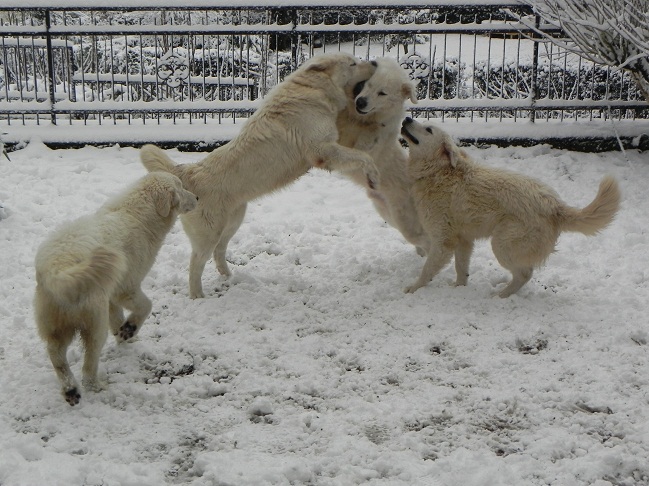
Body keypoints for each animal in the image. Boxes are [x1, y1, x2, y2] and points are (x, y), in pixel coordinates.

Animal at [34, 172, 198, 405]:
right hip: (94, 321)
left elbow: (117, 317)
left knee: (56, 354)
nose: (198, 197)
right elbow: (146, 305)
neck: (137, 214)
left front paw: (124, 335)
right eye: (181, 187)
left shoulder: (110, 296)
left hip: (56, 322)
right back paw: (96, 386)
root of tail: (58, 269)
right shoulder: (127, 287)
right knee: (89, 361)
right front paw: (130, 329)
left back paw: (70, 390)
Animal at [140, 52, 379, 299]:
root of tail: (185, 172)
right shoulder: (323, 151)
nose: (375, 62)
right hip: (209, 235)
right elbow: (364, 157)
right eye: (352, 63)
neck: (314, 89)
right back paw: (198, 296)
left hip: (232, 223)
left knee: (219, 251)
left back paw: (229, 277)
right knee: (196, 264)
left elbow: (360, 154)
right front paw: (373, 176)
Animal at [336, 57, 430, 255]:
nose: (360, 102)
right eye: (367, 84)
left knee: (427, 241)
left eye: (382, 93)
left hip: (406, 222)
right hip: (389, 214)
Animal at [400, 117, 621, 297]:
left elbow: (427, 269)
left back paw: (501, 295)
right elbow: (461, 269)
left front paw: (414, 288)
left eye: (428, 129)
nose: (407, 117)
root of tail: (554, 205)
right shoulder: (464, 240)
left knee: (524, 274)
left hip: (502, 243)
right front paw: (459, 288)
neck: (438, 172)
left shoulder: (443, 241)